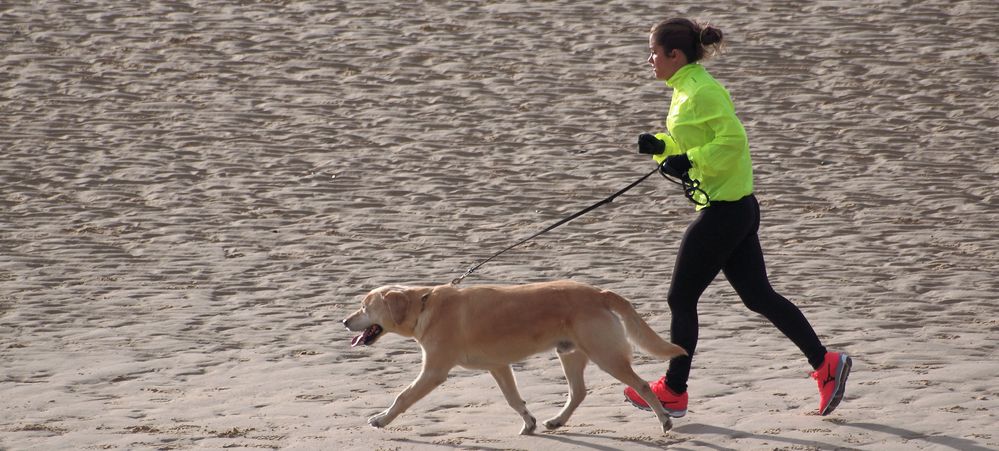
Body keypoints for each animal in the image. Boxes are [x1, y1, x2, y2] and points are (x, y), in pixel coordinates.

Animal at [340, 282, 684, 434]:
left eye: (365, 306)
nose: (344, 321)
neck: (424, 305)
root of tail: (599, 293)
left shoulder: (434, 371)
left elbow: (402, 397)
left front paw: (381, 419)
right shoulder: (499, 367)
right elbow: (513, 399)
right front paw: (529, 422)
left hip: (606, 355)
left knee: (641, 384)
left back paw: (664, 419)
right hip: (570, 353)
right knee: (578, 392)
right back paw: (557, 420)